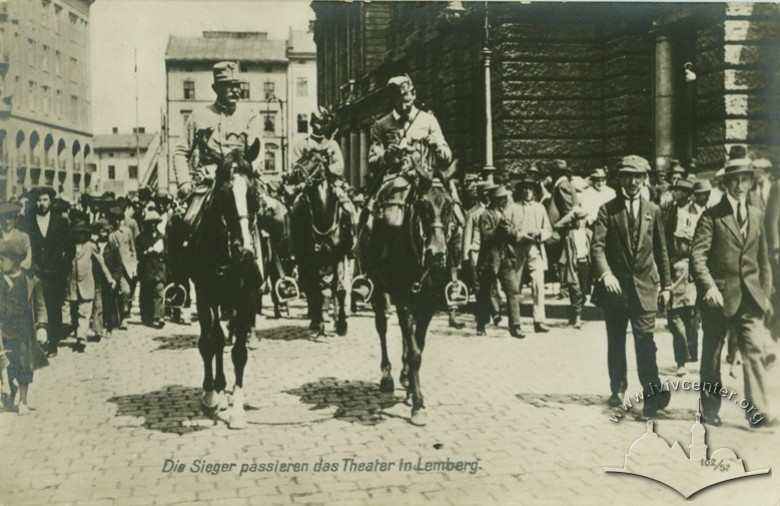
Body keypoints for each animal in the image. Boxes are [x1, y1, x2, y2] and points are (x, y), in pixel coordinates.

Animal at [186, 140, 262, 428]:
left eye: (253, 193)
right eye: (223, 194)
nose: (245, 249)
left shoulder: (246, 298)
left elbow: (239, 351)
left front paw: (237, 408)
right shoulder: (205, 295)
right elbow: (209, 342)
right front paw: (210, 396)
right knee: (215, 338)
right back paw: (216, 388)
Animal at [290, 152, 354, 338]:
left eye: (314, 160)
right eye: (301, 158)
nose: (293, 175)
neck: (323, 218)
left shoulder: (339, 257)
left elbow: (339, 290)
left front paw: (342, 324)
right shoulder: (311, 260)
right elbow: (316, 291)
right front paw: (319, 325)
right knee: (311, 287)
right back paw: (315, 319)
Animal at [362, 159, 464, 426]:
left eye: (449, 205)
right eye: (422, 204)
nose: (437, 253)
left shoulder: (429, 302)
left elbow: (418, 344)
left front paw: (412, 390)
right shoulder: (403, 300)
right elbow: (415, 351)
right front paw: (419, 404)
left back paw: (405, 376)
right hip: (380, 290)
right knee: (382, 327)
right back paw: (387, 375)